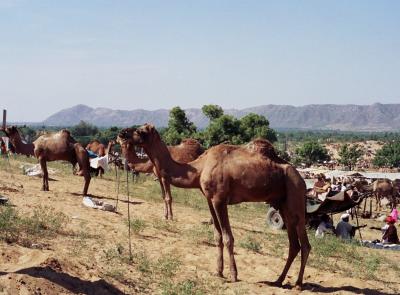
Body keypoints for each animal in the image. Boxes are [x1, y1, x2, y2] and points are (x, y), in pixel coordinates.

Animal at [124, 124, 310, 290]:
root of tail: (302, 178)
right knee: (294, 244)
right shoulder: (209, 200)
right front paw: (218, 271)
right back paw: (278, 280)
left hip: (296, 195)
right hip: (282, 205)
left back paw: (298, 284)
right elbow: (217, 236)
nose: (122, 133)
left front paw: (233, 275)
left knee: (305, 243)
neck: (200, 168)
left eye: (140, 131)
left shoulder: (220, 199)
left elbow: (228, 238)